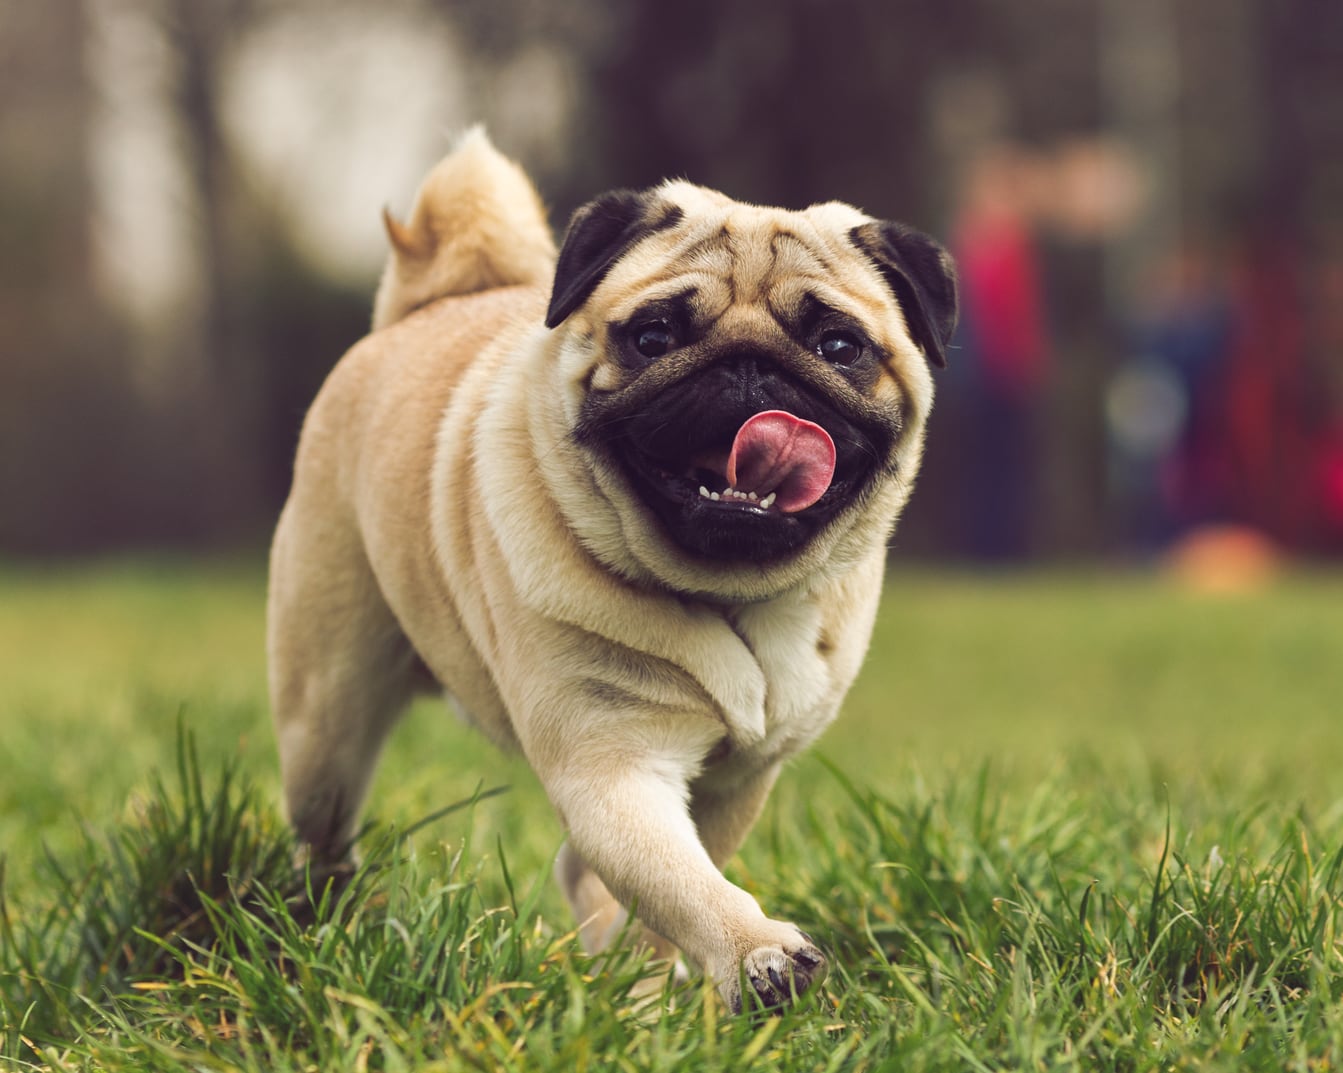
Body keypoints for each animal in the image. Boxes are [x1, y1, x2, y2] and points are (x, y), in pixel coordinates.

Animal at [264, 128, 956, 1015]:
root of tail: (423, 304)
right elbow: (679, 879)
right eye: (653, 337)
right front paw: (755, 953)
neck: (728, 594)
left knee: (581, 873)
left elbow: (669, 884)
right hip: (325, 715)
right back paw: (322, 920)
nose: (749, 368)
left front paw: (651, 982)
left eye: (839, 347)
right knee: (324, 825)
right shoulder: (612, 766)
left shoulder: (732, 782)